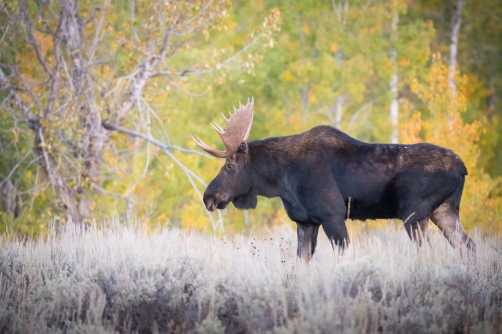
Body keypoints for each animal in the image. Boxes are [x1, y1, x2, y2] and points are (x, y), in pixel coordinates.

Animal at [191, 98, 474, 262]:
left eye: (229, 165)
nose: (208, 197)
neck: (282, 180)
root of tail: (462, 168)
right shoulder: (305, 221)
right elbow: (302, 261)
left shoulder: (333, 215)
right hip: (444, 211)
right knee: (467, 246)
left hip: (414, 213)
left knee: (430, 252)